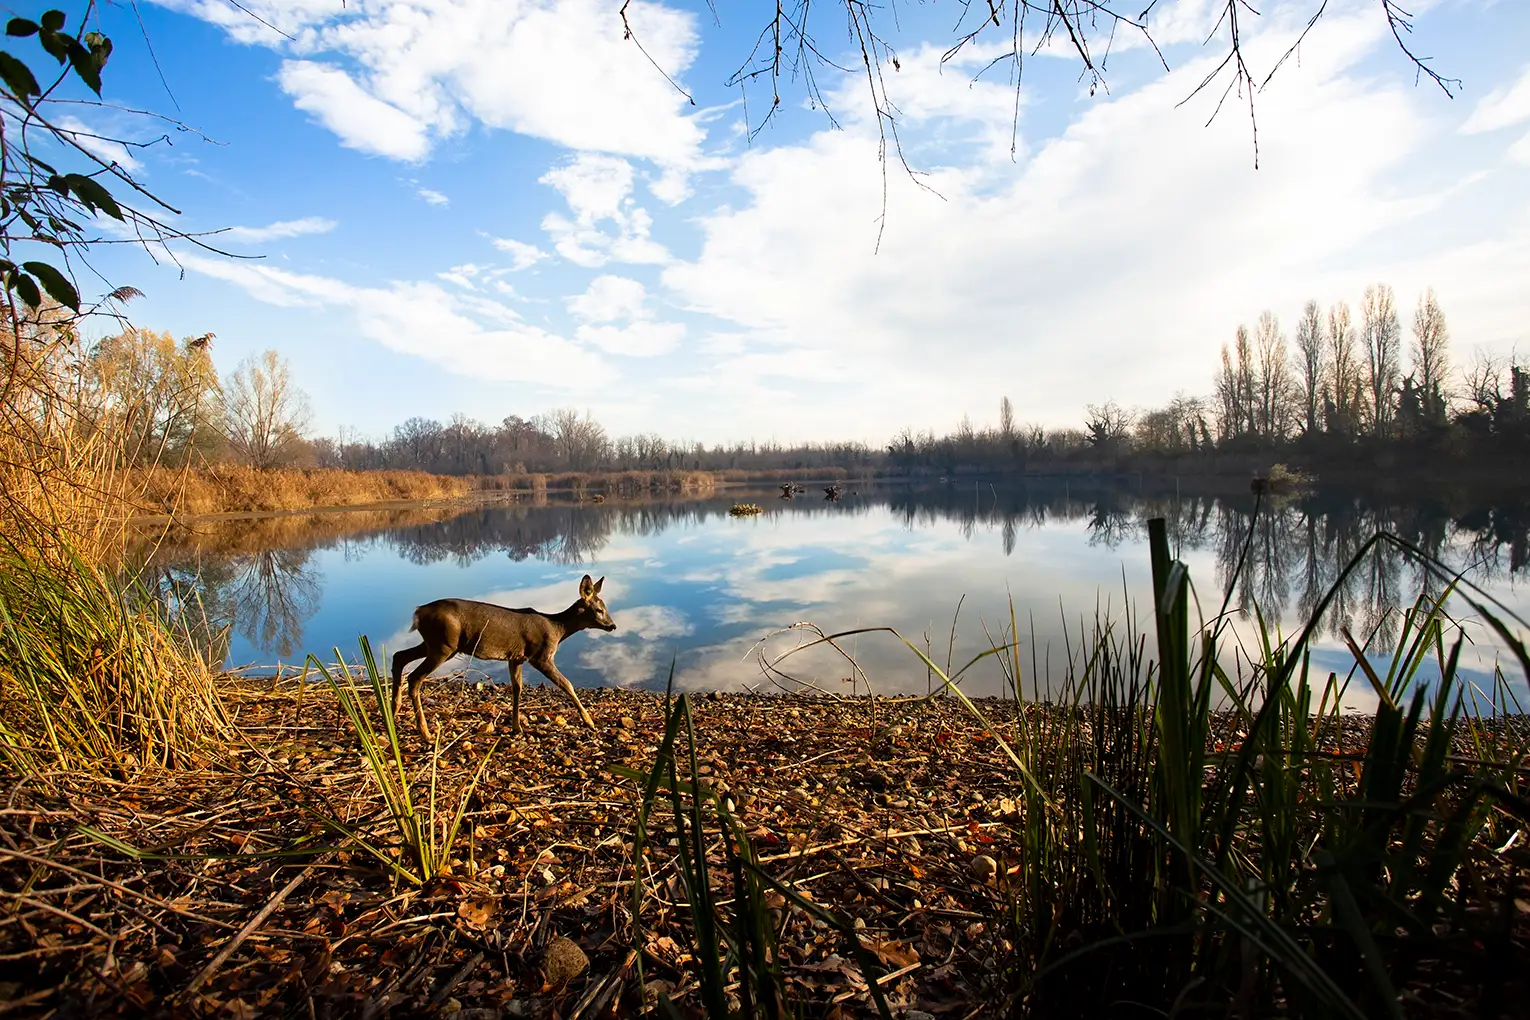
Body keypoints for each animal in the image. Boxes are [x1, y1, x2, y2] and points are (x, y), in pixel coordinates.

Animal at [388, 578, 615, 737]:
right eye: (599, 609)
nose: (612, 625)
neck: (557, 629)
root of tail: (418, 612)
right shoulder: (540, 656)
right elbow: (567, 684)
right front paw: (589, 722)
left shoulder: (516, 658)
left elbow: (517, 689)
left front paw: (516, 727)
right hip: (443, 645)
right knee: (414, 677)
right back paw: (425, 732)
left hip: (433, 643)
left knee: (399, 656)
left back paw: (393, 710)